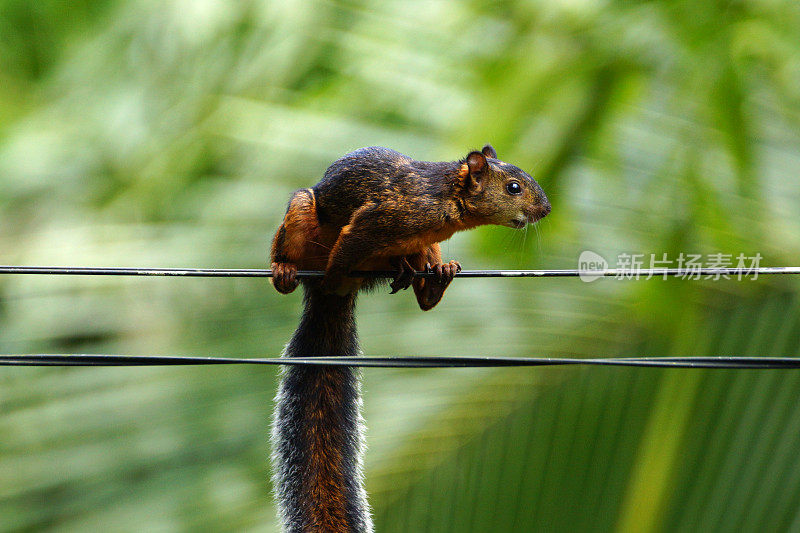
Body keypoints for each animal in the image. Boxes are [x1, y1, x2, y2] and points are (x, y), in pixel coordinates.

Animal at [268, 143, 552, 528]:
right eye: (513, 188)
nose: (546, 209)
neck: (447, 197)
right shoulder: (376, 220)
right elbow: (346, 251)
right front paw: (334, 275)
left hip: (419, 248)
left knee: (420, 283)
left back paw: (433, 277)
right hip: (301, 215)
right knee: (295, 249)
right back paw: (289, 271)